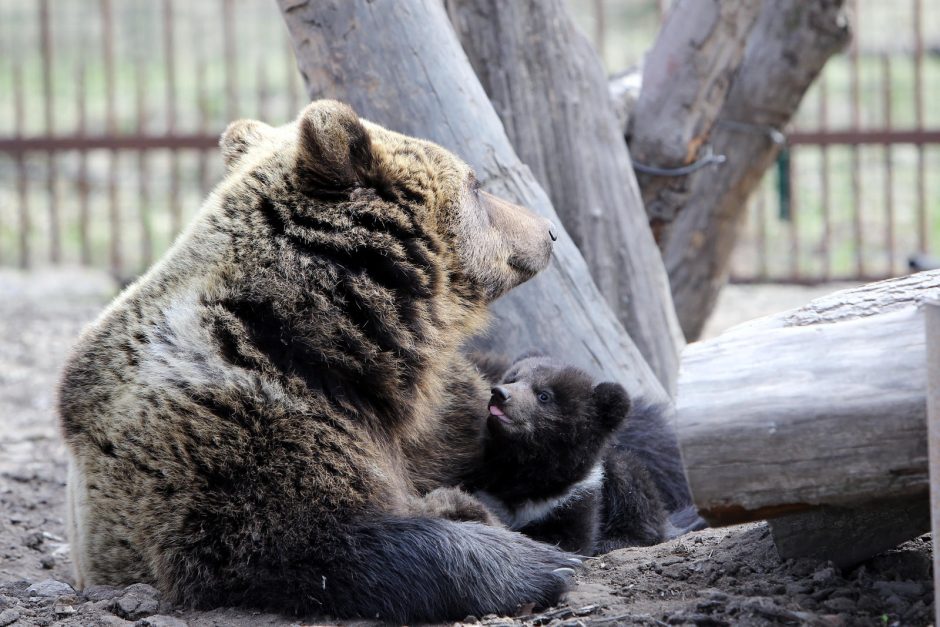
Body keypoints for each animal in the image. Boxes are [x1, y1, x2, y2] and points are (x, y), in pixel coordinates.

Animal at [62, 99, 572, 624]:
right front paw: (540, 563)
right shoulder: (230, 434)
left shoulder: (438, 418)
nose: (549, 232)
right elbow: (311, 544)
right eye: (476, 184)